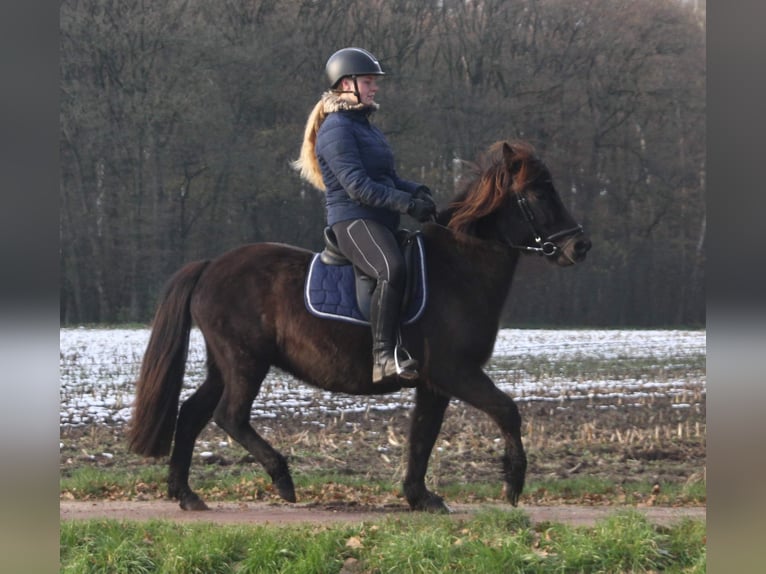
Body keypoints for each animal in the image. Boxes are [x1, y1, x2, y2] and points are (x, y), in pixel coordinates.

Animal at [127, 142, 592, 516]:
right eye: (538, 193)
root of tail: (210, 267)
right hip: (245, 361)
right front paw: (512, 483)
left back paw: (186, 494)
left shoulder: (434, 383)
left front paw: (420, 497)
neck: (459, 269)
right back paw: (282, 478)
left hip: (223, 364)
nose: (580, 246)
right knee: (230, 416)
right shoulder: (455, 371)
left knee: (192, 414)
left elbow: (422, 438)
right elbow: (506, 410)